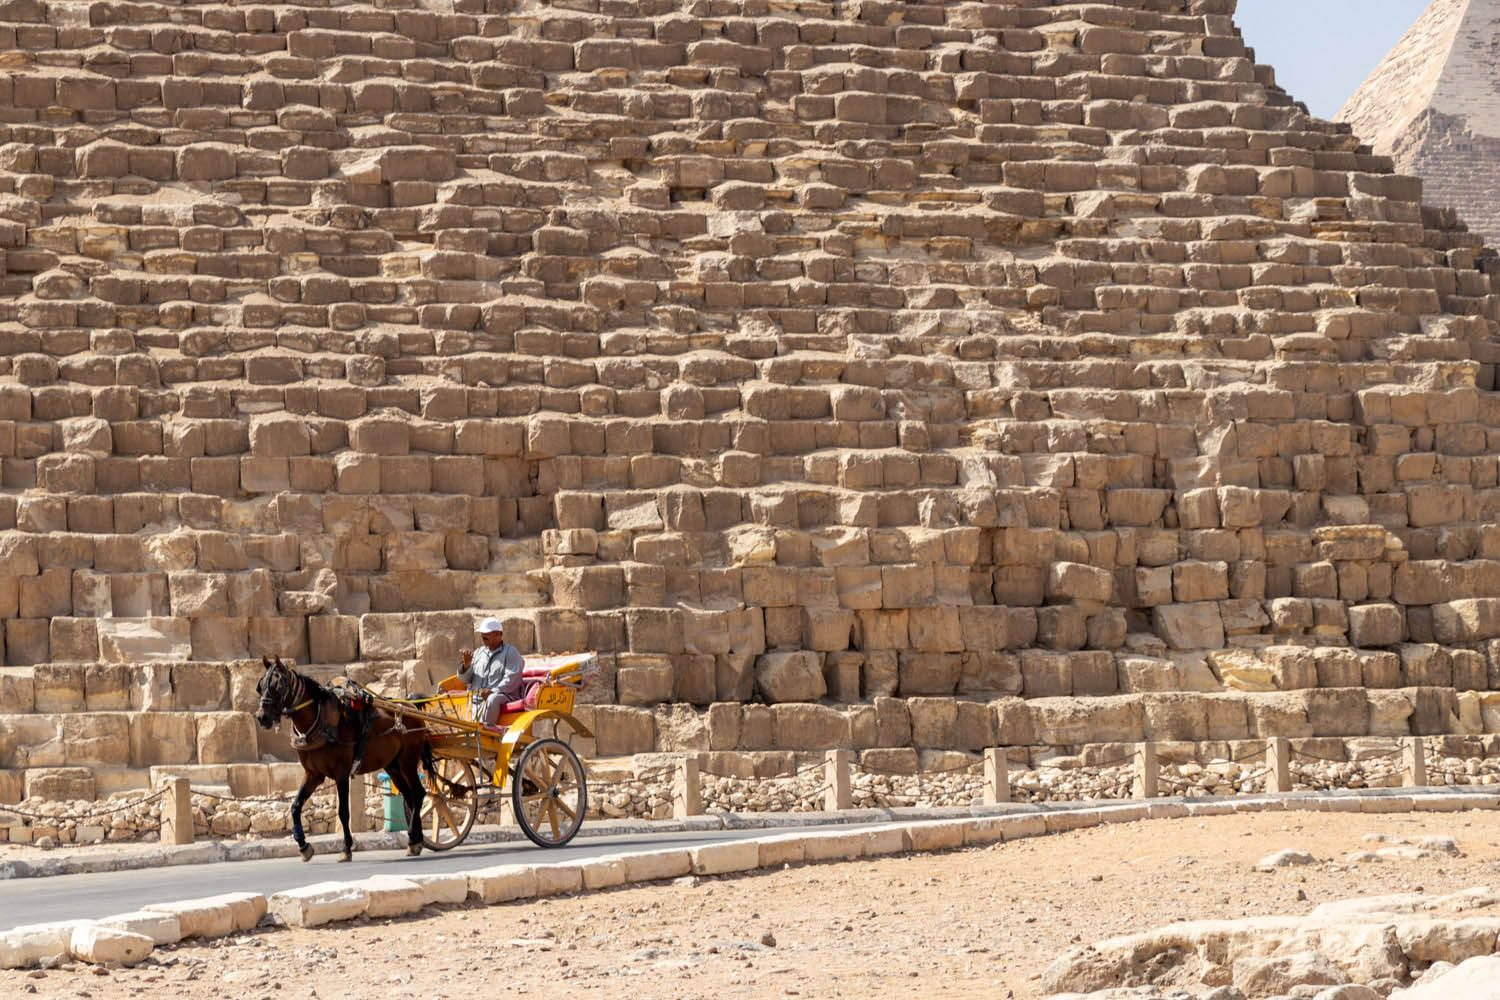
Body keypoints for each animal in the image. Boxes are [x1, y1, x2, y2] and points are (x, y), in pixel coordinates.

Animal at [255, 656, 435, 863]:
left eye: (278, 686)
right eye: (260, 686)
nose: (261, 717)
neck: (319, 722)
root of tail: (410, 706)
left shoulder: (341, 773)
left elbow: (343, 812)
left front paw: (346, 848)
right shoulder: (313, 774)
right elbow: (295, 806)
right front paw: (303, 846)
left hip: (408, 761)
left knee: (418, 793)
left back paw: (414, 838)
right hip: (393, 766)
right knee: (410, 796)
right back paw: (415, 840)